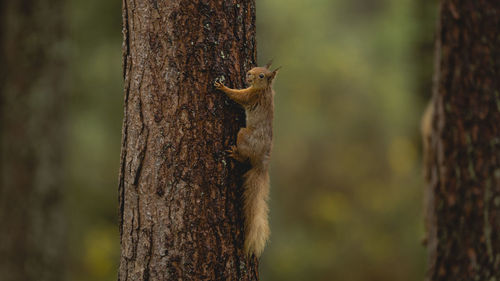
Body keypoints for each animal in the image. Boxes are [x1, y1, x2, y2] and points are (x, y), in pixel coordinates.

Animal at [213, 60, 280, 256]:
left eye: (261, 75)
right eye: (255, 68)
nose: (249, 73)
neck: (264, 89)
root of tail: (262, 164)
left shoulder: (251, 96)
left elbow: (239, 96)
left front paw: (223, 87)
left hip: (243, 134)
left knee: (244, 158)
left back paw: (235, 154)